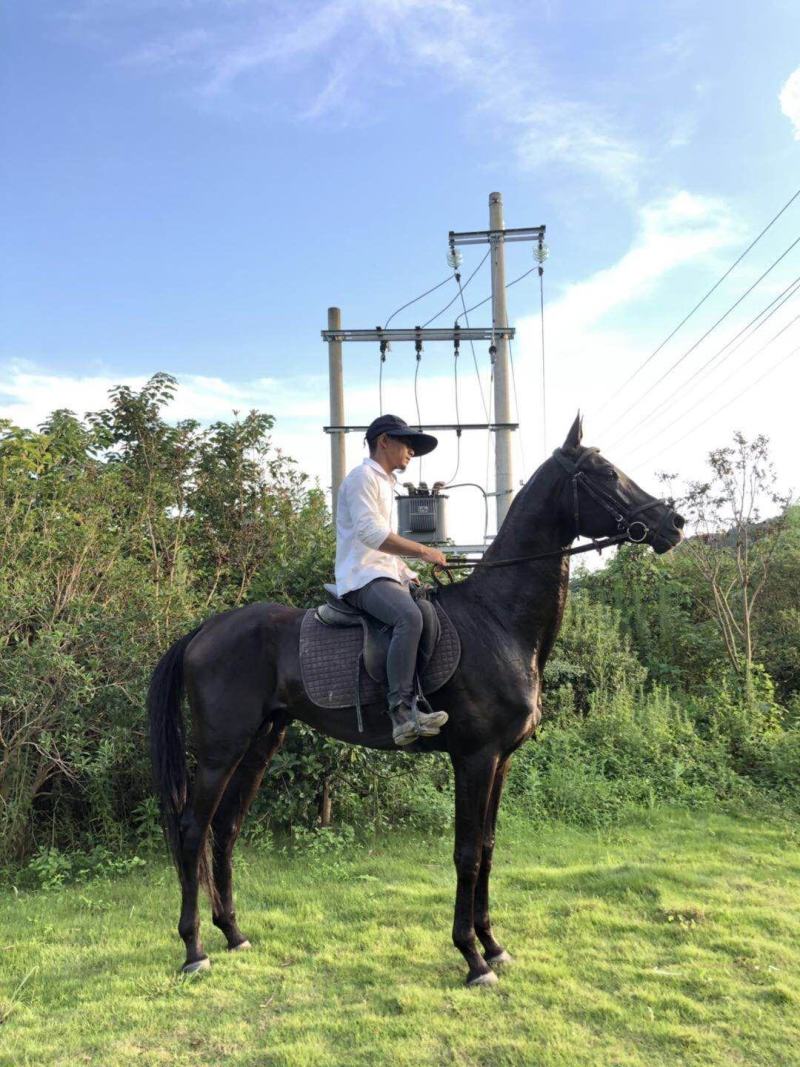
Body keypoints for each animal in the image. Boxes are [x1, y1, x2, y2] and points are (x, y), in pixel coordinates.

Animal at [148, 415, 684, 986]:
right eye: (605, 474)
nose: (674, 524)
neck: (497, 620)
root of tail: (203, 631)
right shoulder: (475, 758)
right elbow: (466, 854)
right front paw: (472, 957)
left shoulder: (501, 761)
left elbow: (488, 849)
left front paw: (493, 945)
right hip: (220, 750)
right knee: (191, 829)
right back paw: (194, 949)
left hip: (260, 743)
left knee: (225, 830)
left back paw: (234, 934)